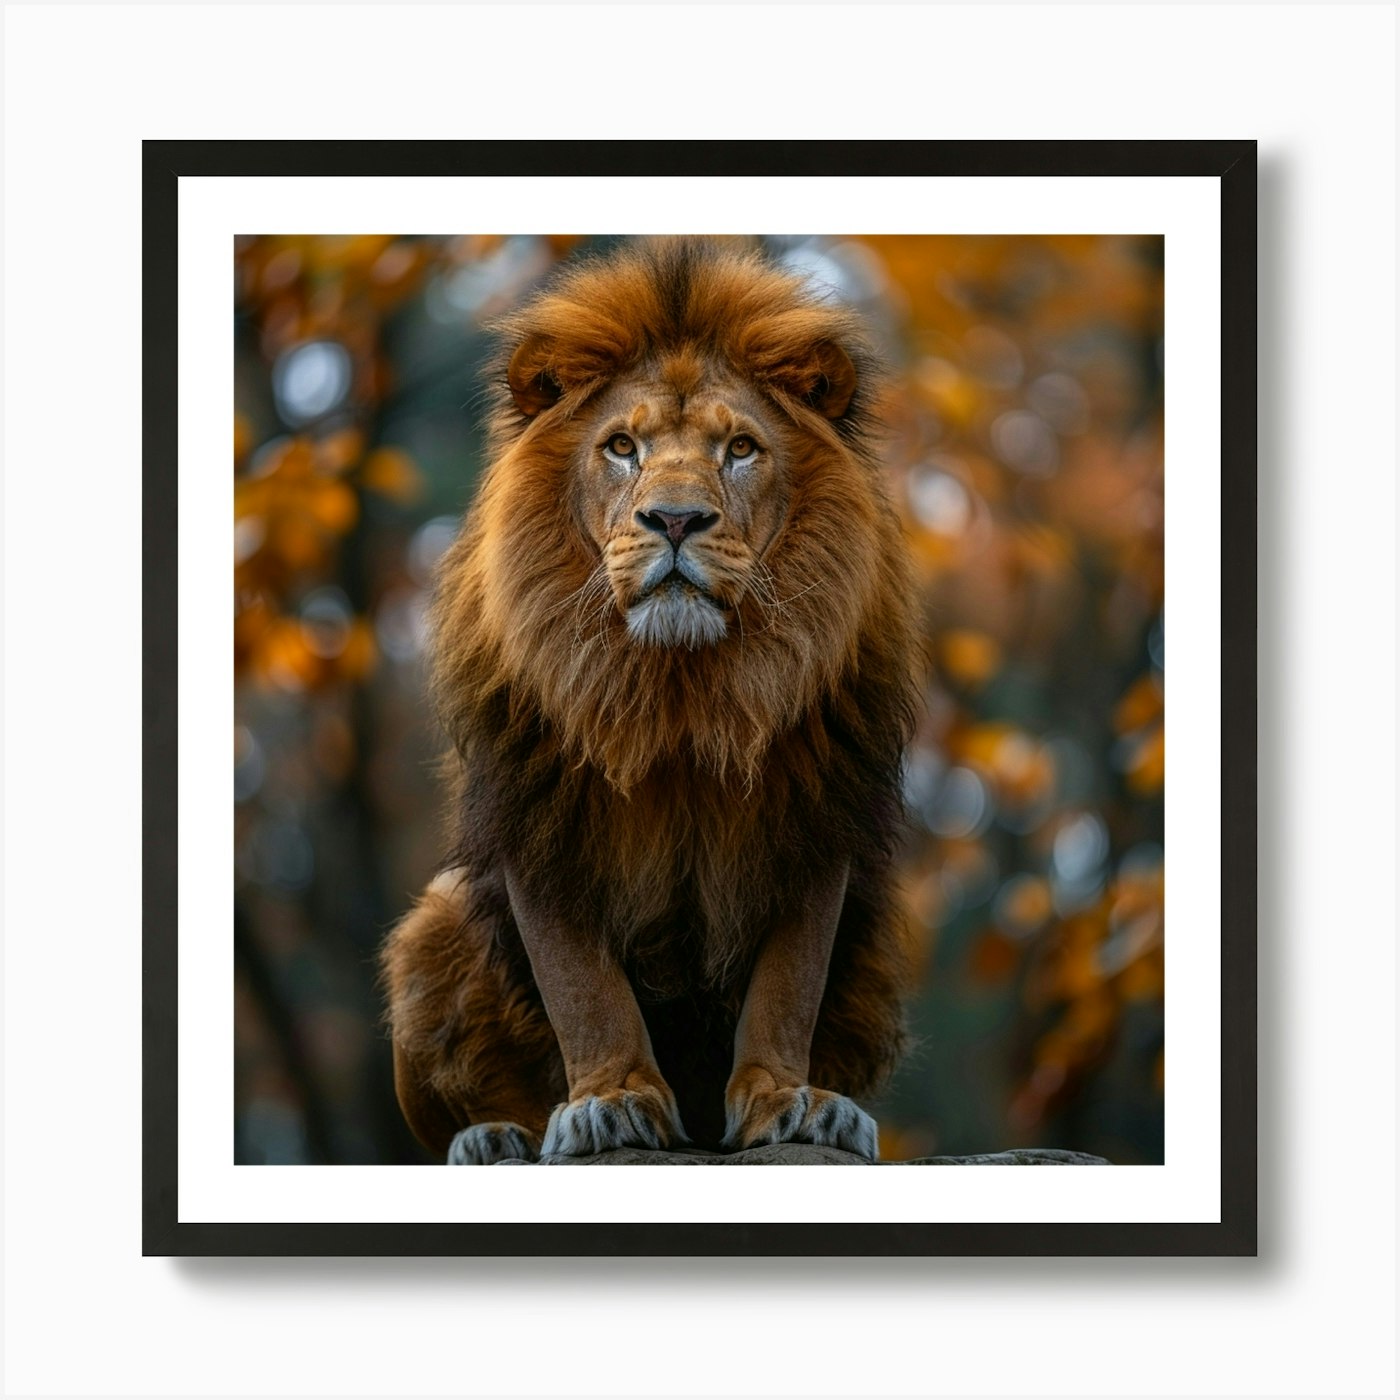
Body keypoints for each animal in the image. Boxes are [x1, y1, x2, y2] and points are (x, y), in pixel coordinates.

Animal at [380, 237, 922, 1163]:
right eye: (622, 446)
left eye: (740, 448)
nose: (674, 520)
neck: (681, 692)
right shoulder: (536, 813)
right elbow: (582, 987)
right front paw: (609, 1101)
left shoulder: (818, 813)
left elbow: (789, 985)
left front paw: (789, 1100)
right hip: (433, 921)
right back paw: (494, 1136)